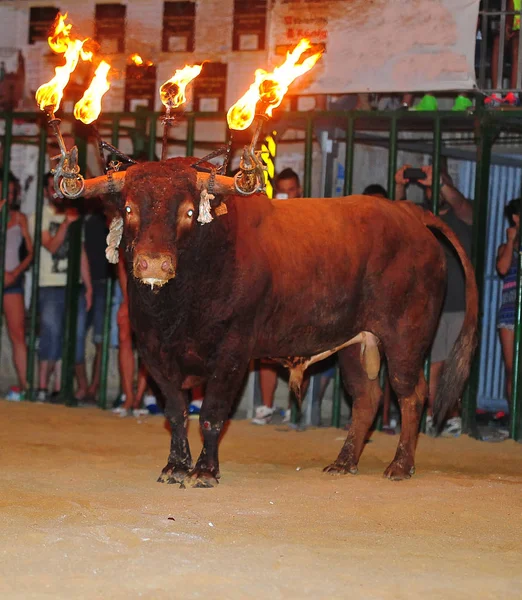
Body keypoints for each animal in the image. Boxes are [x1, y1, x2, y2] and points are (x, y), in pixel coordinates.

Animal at [84, 157, 476, 486]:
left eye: (189, 211)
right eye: (130, 209)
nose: (153, 263)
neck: (178, 307)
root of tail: (409, 213)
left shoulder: (233, 352)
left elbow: (211, 413)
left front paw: (205, 471)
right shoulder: (153, 351)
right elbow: (177, 411)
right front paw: (175, 466)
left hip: (406, 338)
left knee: (412, 394)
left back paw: (400, 465)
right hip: (355, 342)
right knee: (367, 397)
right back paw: (344, 462)